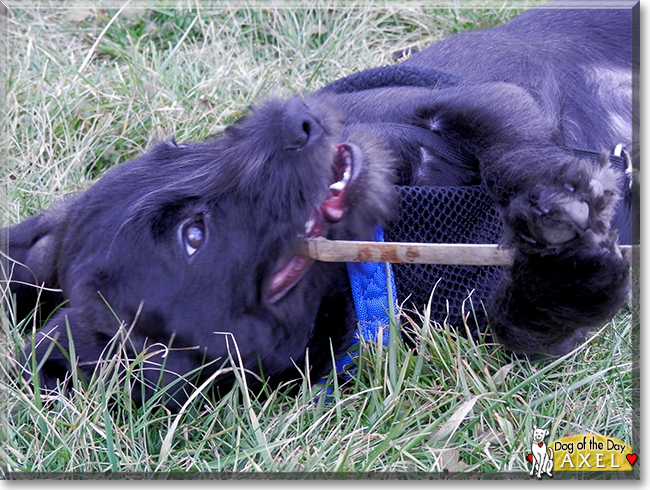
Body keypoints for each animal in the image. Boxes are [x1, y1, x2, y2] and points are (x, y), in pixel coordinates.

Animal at [1, 5, 632, 408]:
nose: (297, 116)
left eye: (176, 148)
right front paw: (571, 271)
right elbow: (524, 320)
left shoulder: (474, 98)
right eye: (192, 235)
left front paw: (554, 197)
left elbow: (509, 150)